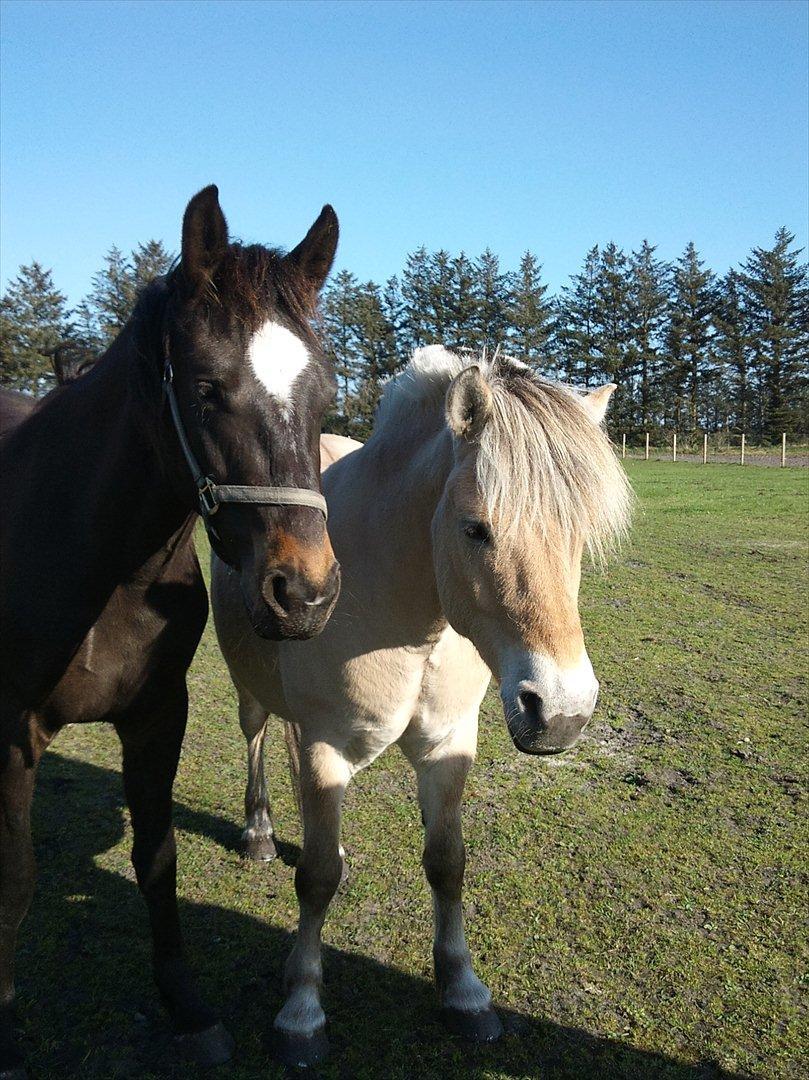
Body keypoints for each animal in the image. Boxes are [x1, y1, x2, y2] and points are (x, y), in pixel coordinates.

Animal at [0, 183, 341, 1071]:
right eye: (206, 388)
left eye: (325, 394)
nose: (305, 592)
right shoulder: (10, 731)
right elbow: (14, 880)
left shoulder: (159, 716)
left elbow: (157, 859)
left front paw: (186, 1006)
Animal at [212, 343, 630, 1062]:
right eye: (476, 529)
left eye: (579, 534)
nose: (561, 712)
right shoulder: (324, 747)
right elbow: (315, 878)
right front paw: (301, 1013)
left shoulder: (448, 746)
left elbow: (447, 863)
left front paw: (463, 992)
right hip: (253, 695)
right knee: (258, 738)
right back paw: (261, 833)